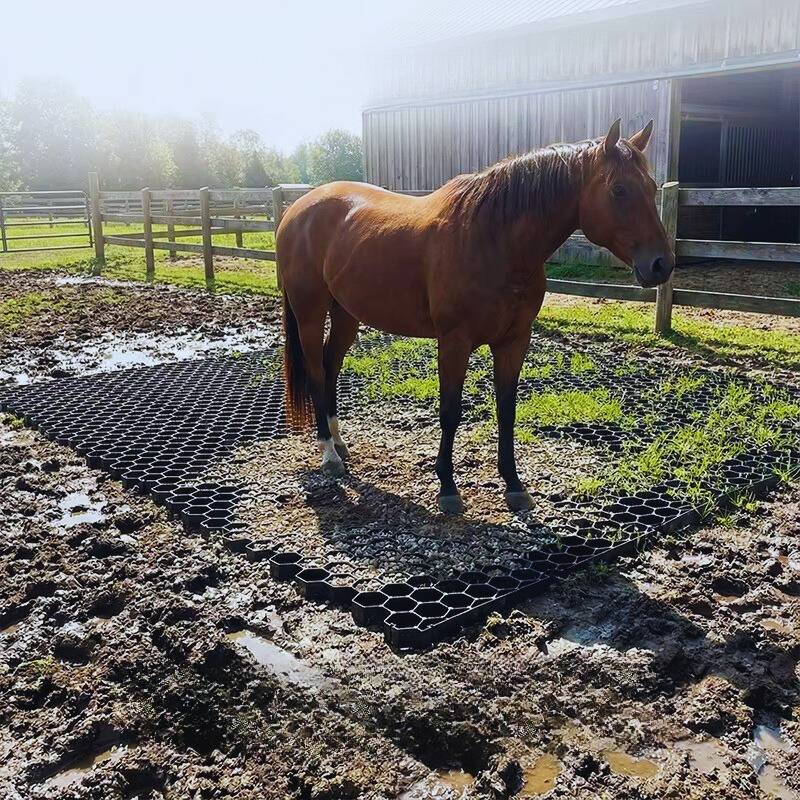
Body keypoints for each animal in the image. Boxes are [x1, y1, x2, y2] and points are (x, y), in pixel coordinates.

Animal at [276, 119, 674, 514]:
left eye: (652, 187)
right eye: (619, 189)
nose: (662, 264)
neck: (494, 240)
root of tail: (298, 209)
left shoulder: (514, 341)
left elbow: (507, 409)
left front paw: (514, 484)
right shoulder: (454, 342)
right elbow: (450, 411)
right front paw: (447, 487)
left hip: (346, 314)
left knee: (331, 366)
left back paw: (340, 443)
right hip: (310, 314)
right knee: (316, 372)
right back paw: (329, 455)